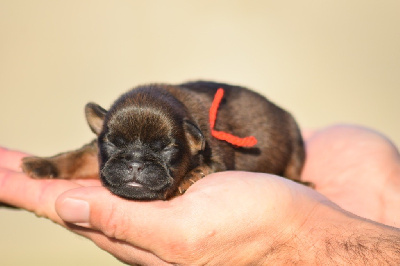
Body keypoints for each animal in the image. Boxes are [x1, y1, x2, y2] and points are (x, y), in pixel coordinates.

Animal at [21, 81, 308, 200]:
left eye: (167, 149)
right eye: (114, 143)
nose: (135, 163)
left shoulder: (217, 156)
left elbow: (207, 167)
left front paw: (191, 176)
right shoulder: (96, 155)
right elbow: (75, 158)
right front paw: (41, 164)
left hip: (295, 139)